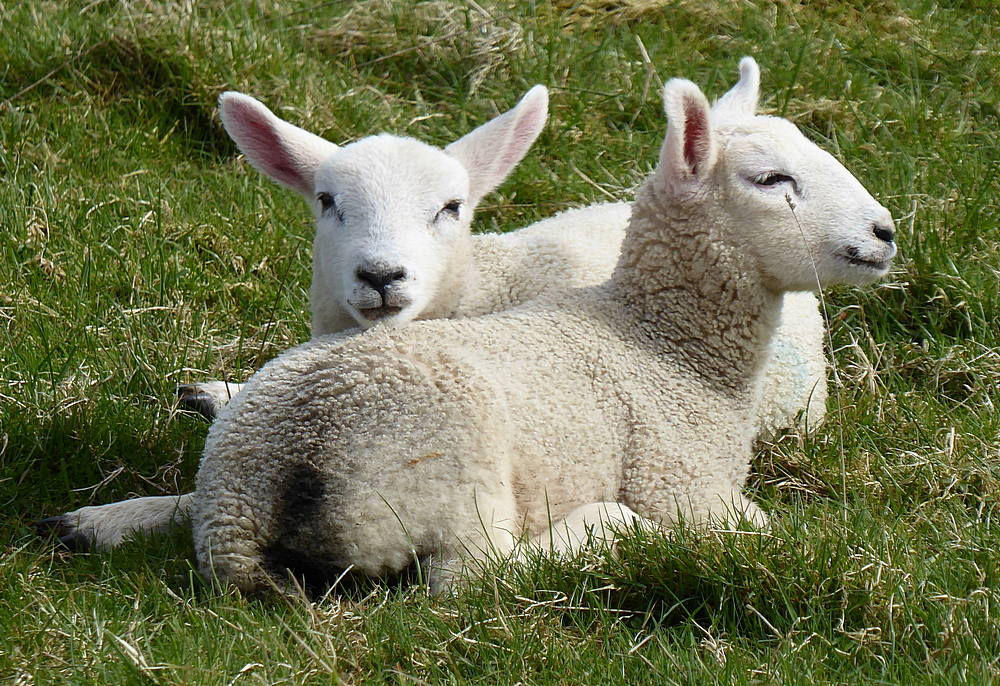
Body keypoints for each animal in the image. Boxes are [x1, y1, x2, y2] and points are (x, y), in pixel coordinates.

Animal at [193, 57, 900, 596]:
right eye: (771, 179)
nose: (885, 232)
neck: (665, 340)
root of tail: (254, 500)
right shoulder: (684, 488)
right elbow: (778, 532)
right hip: (453, 471)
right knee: (473, 578)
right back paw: (602, 524)